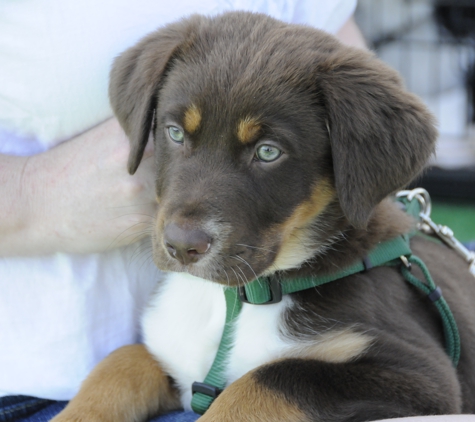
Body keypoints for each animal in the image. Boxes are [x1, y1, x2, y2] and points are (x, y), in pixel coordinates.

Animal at [54, 11, 475, 420]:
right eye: (174, 132)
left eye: (268, 152)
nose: (182, 246)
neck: (234, 300)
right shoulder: (173, 355)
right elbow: (119, 363)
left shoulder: (422, 375)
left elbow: (262, 381)